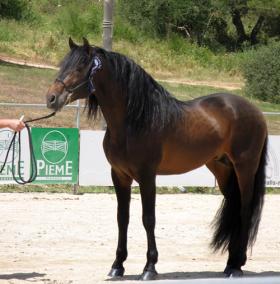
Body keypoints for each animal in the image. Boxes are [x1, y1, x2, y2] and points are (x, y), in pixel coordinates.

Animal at [45, 38, 266, 280]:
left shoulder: (147, 175)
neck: (133, 121)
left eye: (80, 66)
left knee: (245, 209)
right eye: (63, 64)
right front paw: (117, 265)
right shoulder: (119, 176)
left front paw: (149, 267)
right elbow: (122, 218)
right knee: (235, 207)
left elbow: (148, 219)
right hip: (222, 168)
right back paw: (230, 263)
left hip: (244, 168)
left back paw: (236, 266)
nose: (51, 98)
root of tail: (255, 110)